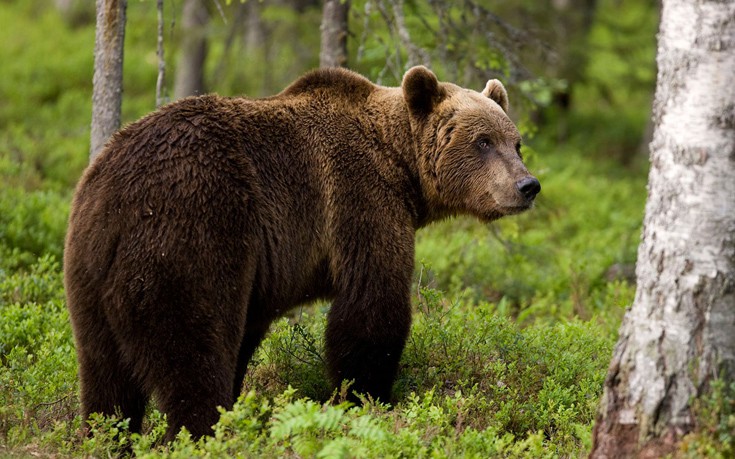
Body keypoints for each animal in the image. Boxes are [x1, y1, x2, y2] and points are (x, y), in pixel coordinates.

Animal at [64, 64, 540, 442]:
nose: (527, 185)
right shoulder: (360, 199)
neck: (401, 165)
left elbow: (251, 332)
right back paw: (207, 434)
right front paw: (367, 398)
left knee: (105, 378)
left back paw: (107, 437)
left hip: (90, 273)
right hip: (191, 237)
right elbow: (371, 309)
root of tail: (117, 198)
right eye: (482, 141)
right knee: (193, 355)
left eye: (515, 142)